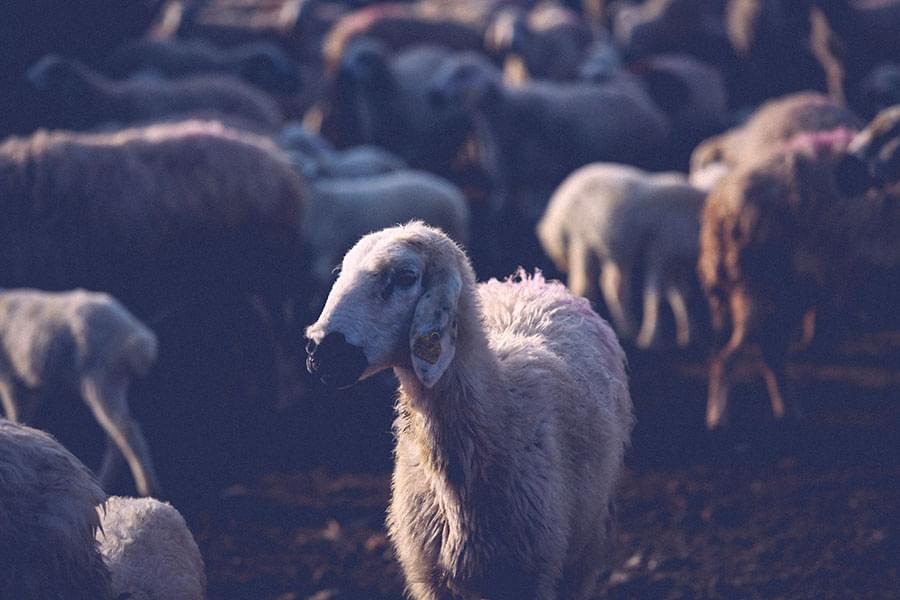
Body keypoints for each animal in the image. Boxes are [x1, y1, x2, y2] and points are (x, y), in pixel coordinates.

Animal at [0, 288, 159, 496]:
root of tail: (139, 339)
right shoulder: (30, 387)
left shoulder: (9, 376)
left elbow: (15, 413)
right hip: (114, 382)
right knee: (116, 434)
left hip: (99, 378)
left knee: (126, 429)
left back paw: (146, 487)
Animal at [306, 221, 628, 600]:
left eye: (405, 276)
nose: (318, 351)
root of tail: (530, 280)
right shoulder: (431, 579)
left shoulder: (531, 575)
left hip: (584, 548)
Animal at [536, 164, 708, 352]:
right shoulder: (659, 252)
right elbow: (654, 294)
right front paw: (653, 337)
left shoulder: (675, 263)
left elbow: (681, 296)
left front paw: (689, 334)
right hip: (581, 239)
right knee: (584, 283)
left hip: (611, 250)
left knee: (612, 285)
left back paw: (627, 329)